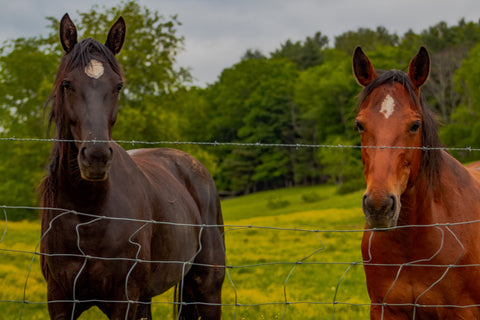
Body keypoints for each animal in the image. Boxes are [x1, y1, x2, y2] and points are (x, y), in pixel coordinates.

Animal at [39, 13, 225, 318]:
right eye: (67, 84)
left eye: (118, 86)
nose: (96, 157)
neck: (86, 215)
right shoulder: (60, 300)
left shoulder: (124, 300)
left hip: (207, 287)